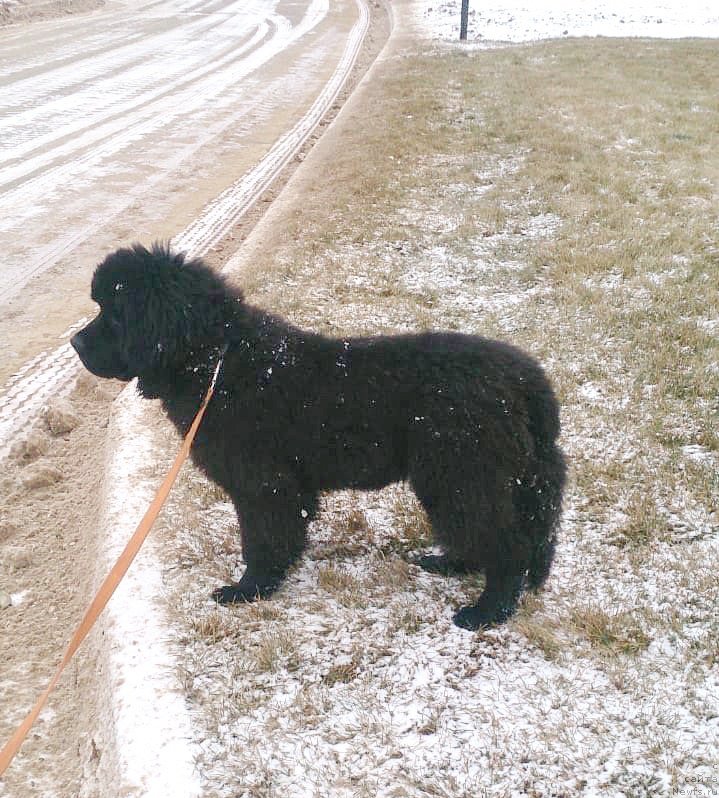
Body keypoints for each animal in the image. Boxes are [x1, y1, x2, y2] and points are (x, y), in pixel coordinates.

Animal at [73, 244, 568, 632]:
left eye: (113, 314)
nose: (75, 344)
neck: (218, 360)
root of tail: (527, 378)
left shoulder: (262, 485)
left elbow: (261, 540)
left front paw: (249, 589)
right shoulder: (286, 487)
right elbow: (286, 533)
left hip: (462, 472)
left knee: (506, 544)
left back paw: (487, 611)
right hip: (485, 477)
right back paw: (448, 564)